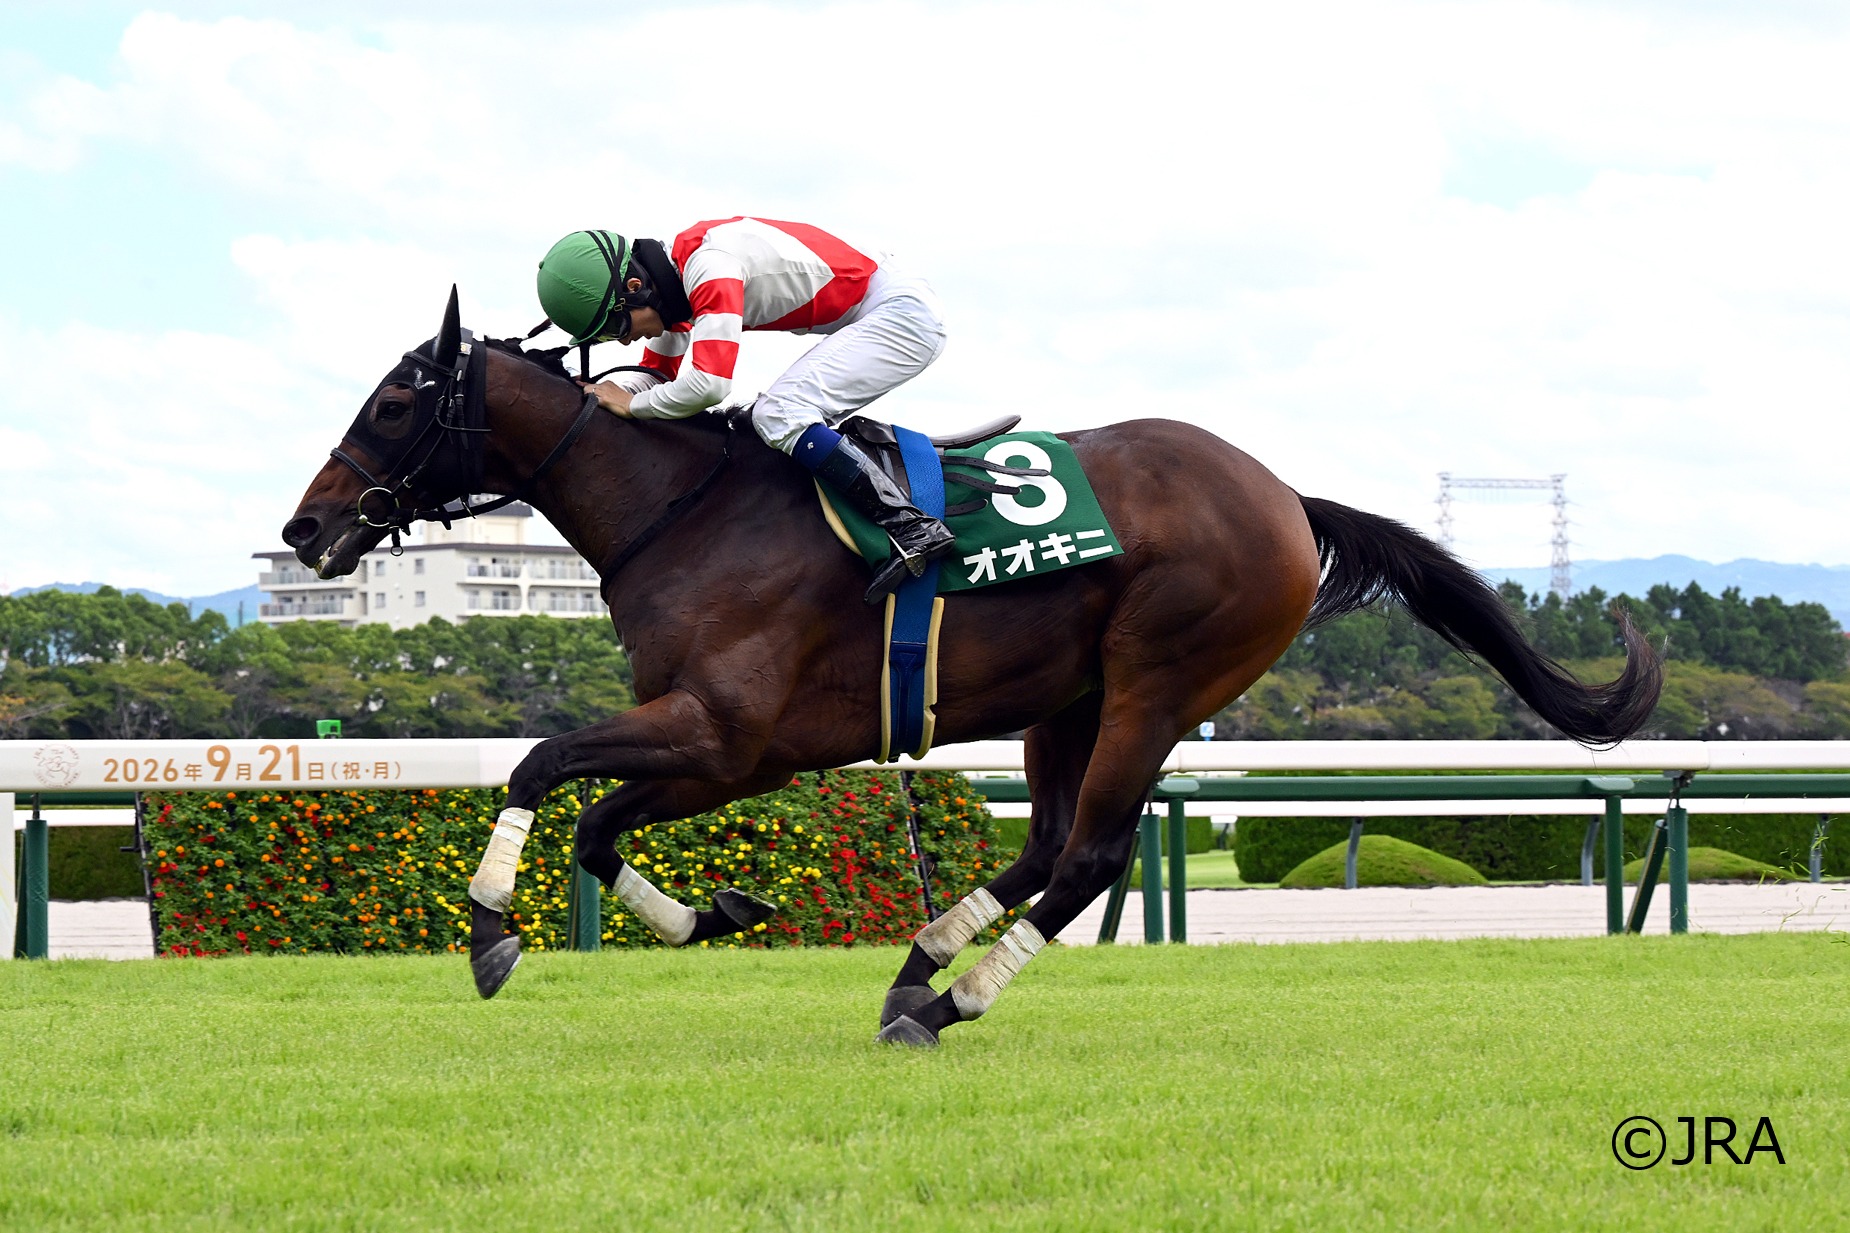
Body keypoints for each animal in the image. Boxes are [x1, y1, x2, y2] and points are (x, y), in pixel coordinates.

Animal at [281, 291, 1662, 1046]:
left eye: (394, 405)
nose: (305, 530)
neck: (682, 513)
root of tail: (1283, 497)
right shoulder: (734, 750)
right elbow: (597, 823)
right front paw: (711, 913)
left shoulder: (723, 730)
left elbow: (538, 768)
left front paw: (488, 932)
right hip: (1069, 700)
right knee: (1046, 846)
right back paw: (916, 966)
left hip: (1160, 679)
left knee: (1091, 855)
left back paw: (948, 1002)